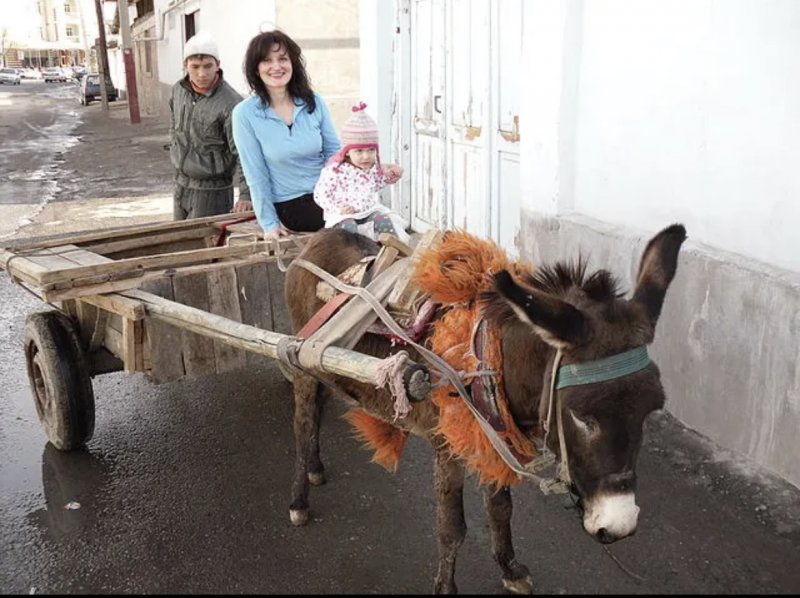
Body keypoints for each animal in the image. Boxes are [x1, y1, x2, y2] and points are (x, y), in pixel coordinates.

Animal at [283, 224, 687, 594]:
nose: (619, 525)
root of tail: (322, 235)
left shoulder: (494, 435)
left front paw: (509, 569)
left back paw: (317, 468)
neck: (487, 354)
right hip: (301, 361)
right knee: (302, 425)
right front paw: (446, 588)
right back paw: (300, 498)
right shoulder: (448, 445)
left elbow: (501, 509)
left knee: (318, 411)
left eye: (651, 410)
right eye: (582, 417)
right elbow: (452, 528)